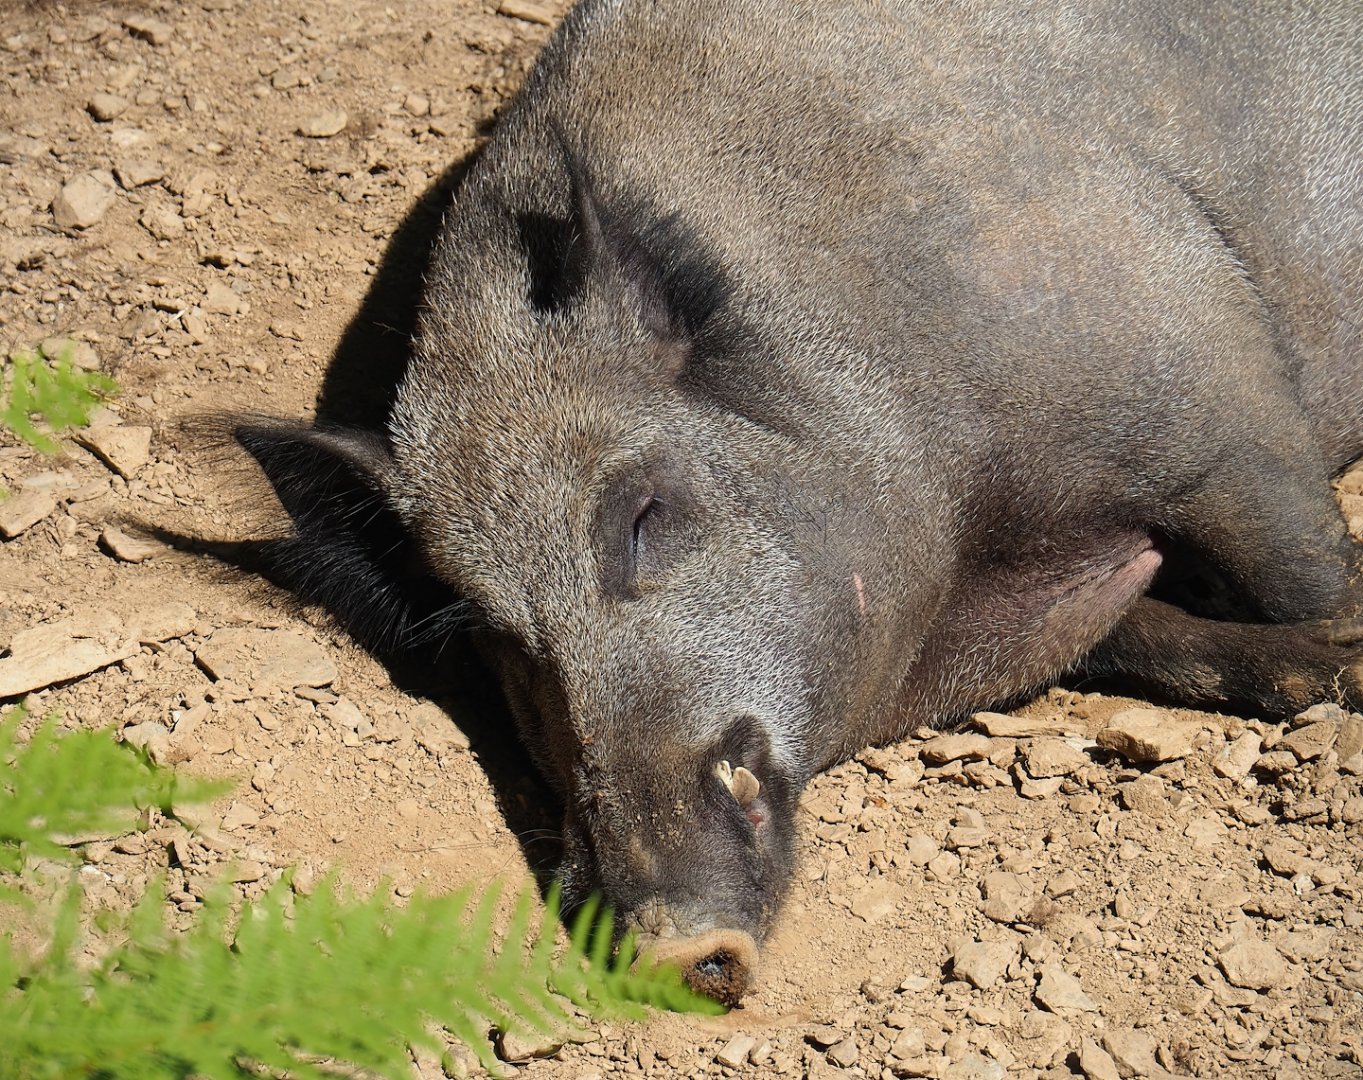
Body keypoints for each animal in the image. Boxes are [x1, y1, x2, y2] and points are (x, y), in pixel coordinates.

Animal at [236, 0, 1363, 1004]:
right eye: (495, 640)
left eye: (640, 516)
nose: (675, 949)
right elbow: (1169, 641)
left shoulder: (1211, 394)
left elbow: (1299, 566)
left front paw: (1347, 662)